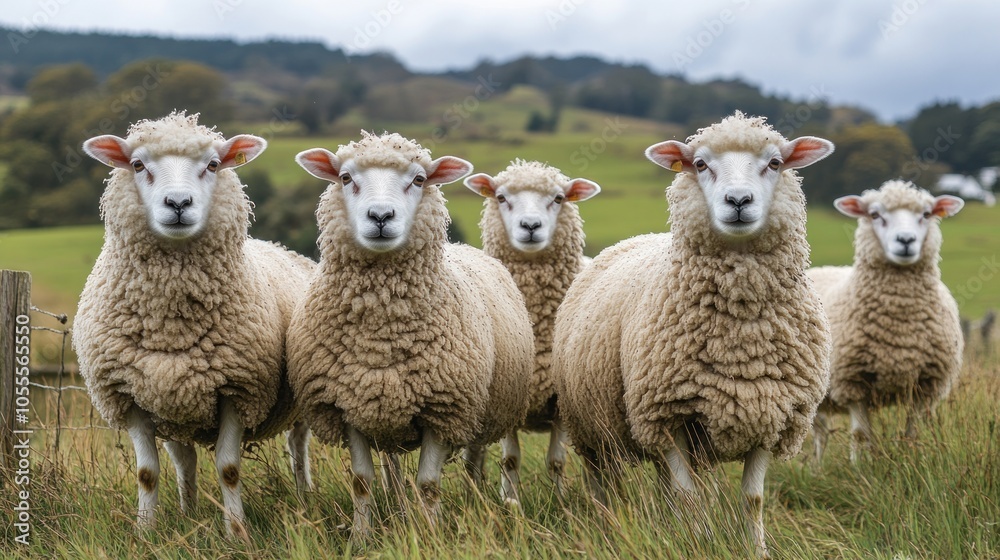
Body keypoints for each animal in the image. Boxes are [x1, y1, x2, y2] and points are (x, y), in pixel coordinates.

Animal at [74, 112, 315, 539]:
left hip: (297, 400)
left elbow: (228, 468)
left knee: (298, 445)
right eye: (138, 165)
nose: (178, 203)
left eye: (213, 165)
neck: (172, 324)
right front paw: (145, 534)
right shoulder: (129, 395)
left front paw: (236, 534)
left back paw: (304, 496)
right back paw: (188, 514)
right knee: (184, 462)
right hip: (173, 406)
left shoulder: (238, 388)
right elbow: (147, 473)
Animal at [287, 131, 534, 543]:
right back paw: (398, 507)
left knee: (472, 460)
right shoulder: (348, 407)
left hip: (480, 410)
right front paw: (361, 538)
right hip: (386, 413)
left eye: (419, 179)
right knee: (391, 468)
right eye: (345, 178)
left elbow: (429, 485)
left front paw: (431, 534)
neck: (382, 337)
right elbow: (361, 481)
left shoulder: (444, 408)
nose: (381, 217)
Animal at [462, 159, 601, 504]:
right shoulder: (512, 393)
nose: (530, 226)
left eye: (559, 198)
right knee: (474, 453)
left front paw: (560, 501)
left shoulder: (560, 402)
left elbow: (556, 461)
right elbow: (510, 459)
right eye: (501, 197)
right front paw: (510, 501)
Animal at [553, 112, 834, 558]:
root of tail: (632, 239)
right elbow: (688, 496)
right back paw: (607, 528)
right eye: (700, 164)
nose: (738, 201)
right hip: (591, 426)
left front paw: (754, 549)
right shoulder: (667, 414)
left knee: (663, 485)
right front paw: (697, 543)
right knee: (604, 483)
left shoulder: (771, 412)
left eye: (775, 163)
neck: (741, 337)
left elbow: (752, 499)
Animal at [809, 180, 964, 464]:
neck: (899, 326)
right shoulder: (853, 382)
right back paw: (816, 469)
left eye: (926, 214)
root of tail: (821, 269)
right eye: (874, 215)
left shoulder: (924, 386)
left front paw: (912, 462)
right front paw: (861, 470)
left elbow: (912, 434)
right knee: (820, 435)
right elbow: (861, 437)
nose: (906, 240)